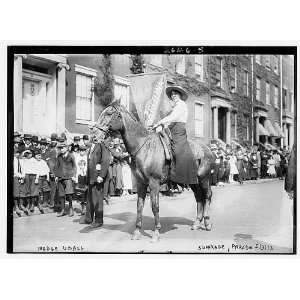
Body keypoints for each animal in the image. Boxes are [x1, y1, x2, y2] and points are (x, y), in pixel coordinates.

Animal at [91, 102, 216, 241]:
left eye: (109, 113)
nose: (94, 136)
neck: (144, 147)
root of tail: (208, 150)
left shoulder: (154, 183)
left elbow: (155, 206)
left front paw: (156, 232)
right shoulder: (141, 183)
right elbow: (139, 206)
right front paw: (137, 232)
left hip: (204, 178)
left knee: (207, 195)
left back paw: (207, 222)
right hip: (193, 181)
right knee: (199, 197)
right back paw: (197, 223)